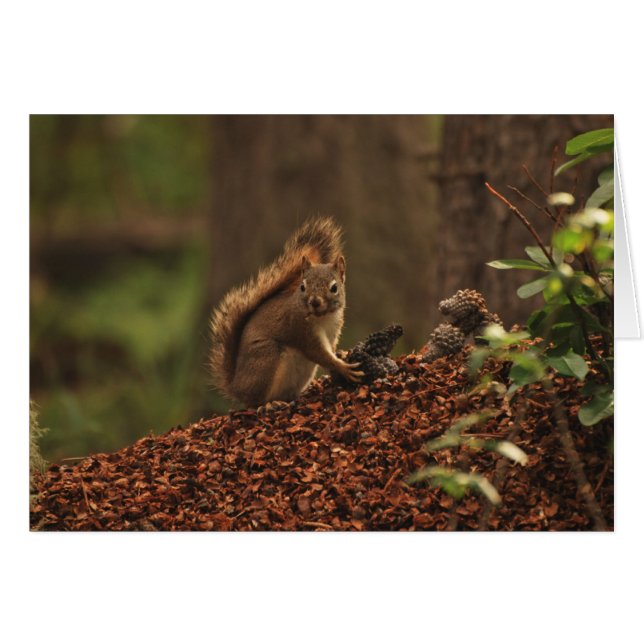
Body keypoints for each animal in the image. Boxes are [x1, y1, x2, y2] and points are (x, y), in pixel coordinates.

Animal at [209, 217, 364, 408]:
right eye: (302, 286)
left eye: (334, 288)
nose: (314, 302)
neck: (323, 317)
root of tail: (237, 387)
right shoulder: (300, 329)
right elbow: (317, 352)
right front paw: (344, 368)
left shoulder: (333, 330)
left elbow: (331, 349)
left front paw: (341, 355)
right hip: (266, 359)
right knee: (256, 401)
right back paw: (268, 404)